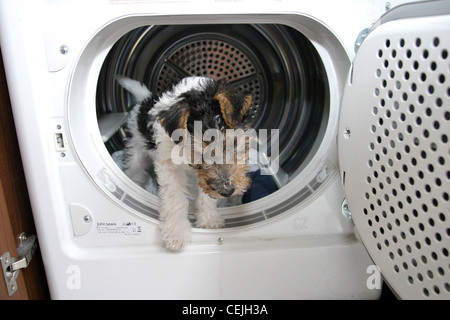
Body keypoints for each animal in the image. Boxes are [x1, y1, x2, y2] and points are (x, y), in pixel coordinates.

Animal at [118, 75, 255, 250]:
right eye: (199, 154)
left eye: (233, 144)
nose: (227, 192)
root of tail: (144, 101)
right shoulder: (170, 166)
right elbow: (174, 197)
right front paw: (175, 233)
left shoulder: (202, 177)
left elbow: (205, 195)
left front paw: (209, 220)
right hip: (135, 153)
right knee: (135, 173)